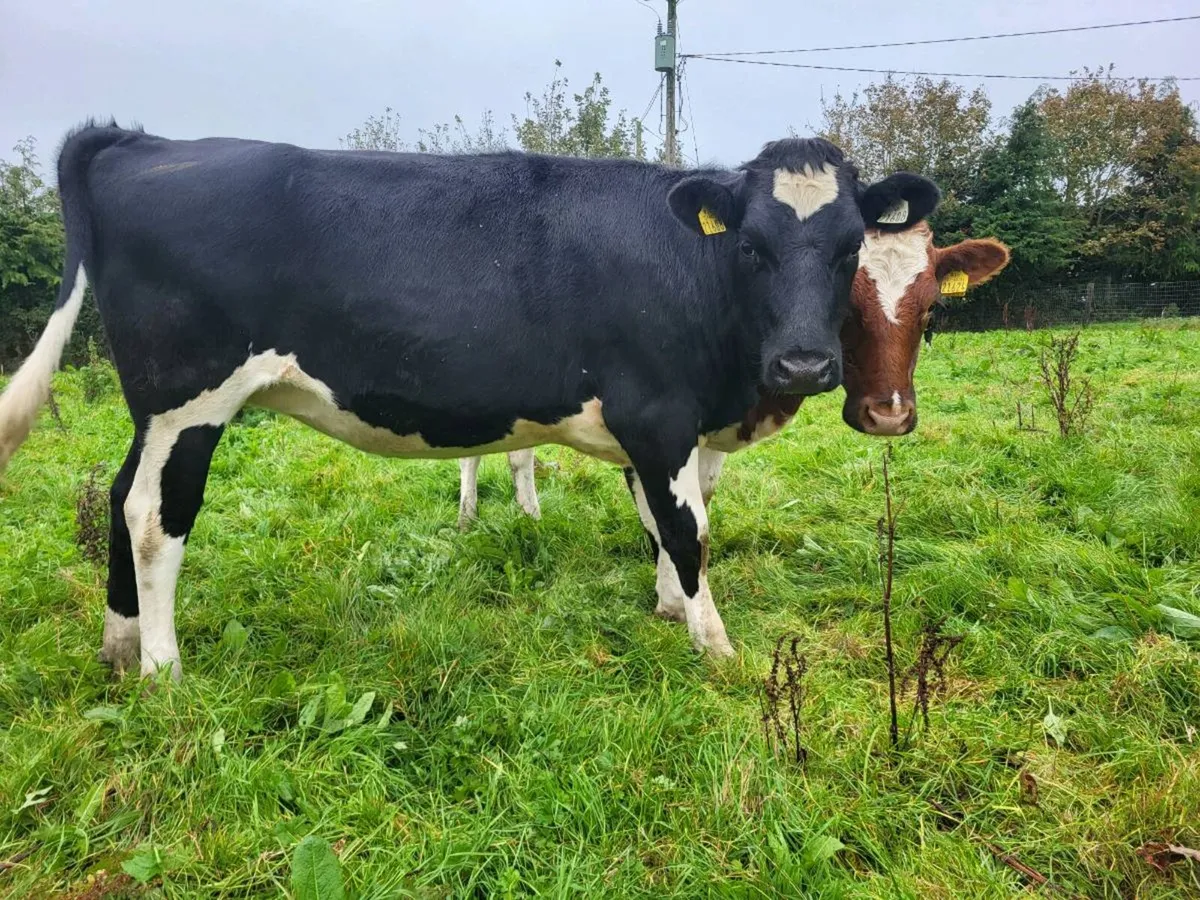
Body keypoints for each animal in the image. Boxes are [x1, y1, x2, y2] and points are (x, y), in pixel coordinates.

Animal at [0, 121, 941, 681]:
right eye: (749, 246)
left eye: (850, 247)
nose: (804, 364)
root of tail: (141, 141)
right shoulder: (658, 413)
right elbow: (686, 530)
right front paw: (713, 645)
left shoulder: (666, 430)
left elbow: (662, 520)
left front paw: (672, 608)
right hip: (190, 398)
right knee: (154, 517)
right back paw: (163, 672)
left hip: (156, 411)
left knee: (119, 496)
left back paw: (119, 646)